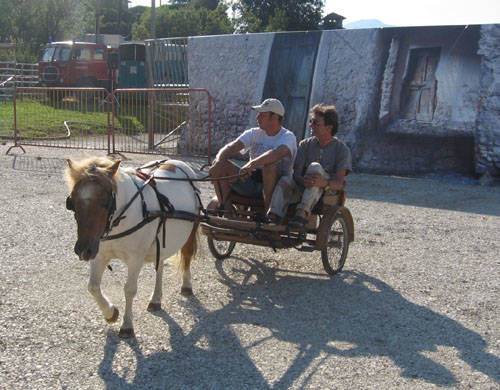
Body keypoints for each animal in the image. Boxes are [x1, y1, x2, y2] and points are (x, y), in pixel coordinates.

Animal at [63, 157, 200, 336]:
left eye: (105, 202)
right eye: (72, 202)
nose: (83, 250)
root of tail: (178, 162)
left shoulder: (135, 259)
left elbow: (129, 290)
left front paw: (127, 324)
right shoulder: (99, 254)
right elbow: (93, 287)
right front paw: (110, 313)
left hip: (191, 230)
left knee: (187, 255)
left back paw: (186, 285)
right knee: (160, 265)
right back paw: (156, 299)